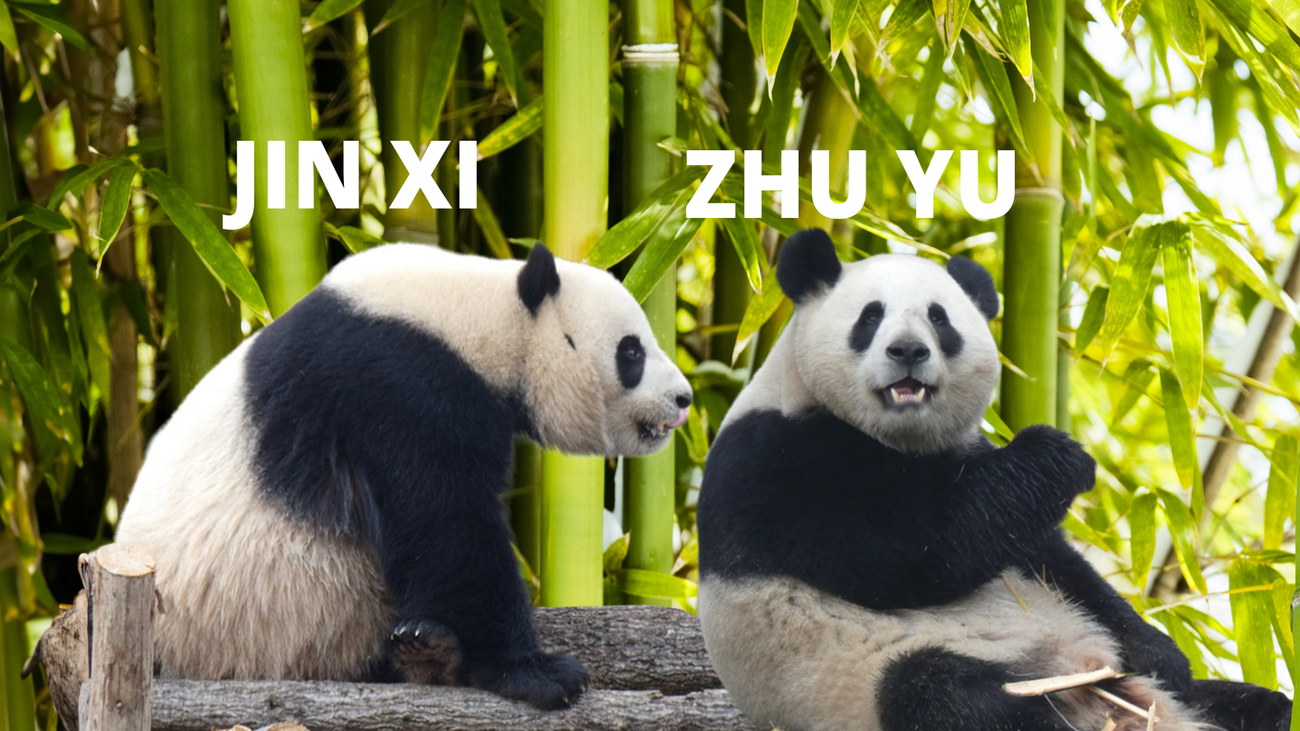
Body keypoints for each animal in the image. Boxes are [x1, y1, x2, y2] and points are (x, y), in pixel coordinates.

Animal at [114, 243, 693, 710]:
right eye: (632, 351)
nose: (684, 398)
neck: (483, 314)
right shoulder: (400, 388)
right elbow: (447, 525)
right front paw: (539, 673)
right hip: (246, 628)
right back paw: (427, 655)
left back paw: (427, 646)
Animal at [695, 228, 1290, 731]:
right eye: (870, 317)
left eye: (939, 319)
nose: (907, 350)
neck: (897, 438)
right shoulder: (779, 465)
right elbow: (921, 554)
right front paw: (1059, 453)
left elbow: (1051, 560)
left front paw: (1163, 653)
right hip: (856, 679)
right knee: (944, 694)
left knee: (1258, 705)